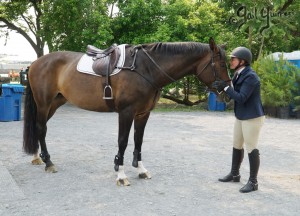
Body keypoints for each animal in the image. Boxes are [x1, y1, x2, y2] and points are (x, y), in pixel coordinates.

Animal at [23, 37, 230, 186]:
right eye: (221, 64)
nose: (227, 91)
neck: (146, 69)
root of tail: (35, 63)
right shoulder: (126, 112)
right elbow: (122, 141)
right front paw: (121, 174)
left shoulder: (143, 114)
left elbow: (138, 140)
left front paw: (141, 170)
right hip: (44, 103)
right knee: (41, 128)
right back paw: (49, 163)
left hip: (55, 102)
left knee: (40, 127)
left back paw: (38, 157)